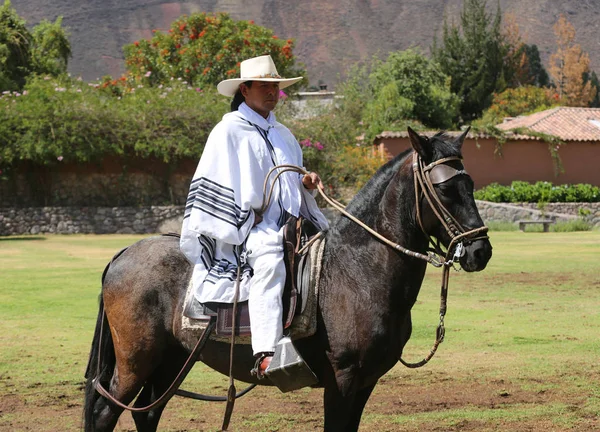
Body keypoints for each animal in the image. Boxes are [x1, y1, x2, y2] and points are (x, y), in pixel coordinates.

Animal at [83, 129, 492, 432]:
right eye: (445, 189)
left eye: (471, 184)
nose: (480, 251)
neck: (358, 272)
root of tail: (123, 253)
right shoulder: (342, 381)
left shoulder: (365, 383)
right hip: (135, 362)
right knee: (106, 413)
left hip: (172, 359)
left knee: (147, 412)